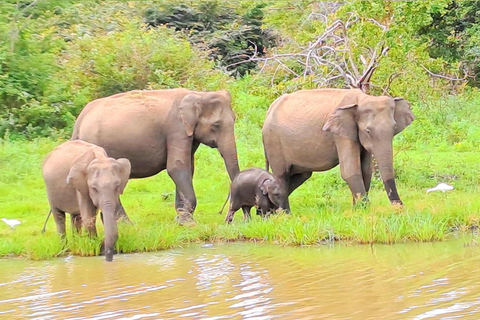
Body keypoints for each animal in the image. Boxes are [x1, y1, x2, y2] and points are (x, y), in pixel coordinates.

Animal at [71, 89, 240, 224]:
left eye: (234, 120)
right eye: (216, 125)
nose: (226, 218)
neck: (198, 94)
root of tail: (79, 121)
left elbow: (188, 168)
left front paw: (180, 220)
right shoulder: (176, 128)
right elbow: (177, 167)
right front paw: (188, 223)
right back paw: (127, 225)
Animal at [260, 89, 414, 211]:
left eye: (394, 128)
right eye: (368, 131)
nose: (399, 206)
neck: (361, 98)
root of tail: (270, 109)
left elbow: (366, 170)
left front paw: (356, 208)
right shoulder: (340, 134)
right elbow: (350, 170)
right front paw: (364, 208)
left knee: (302, 175)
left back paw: (273, 209)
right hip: (273, 141)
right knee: (281, 176)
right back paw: (282, 212)